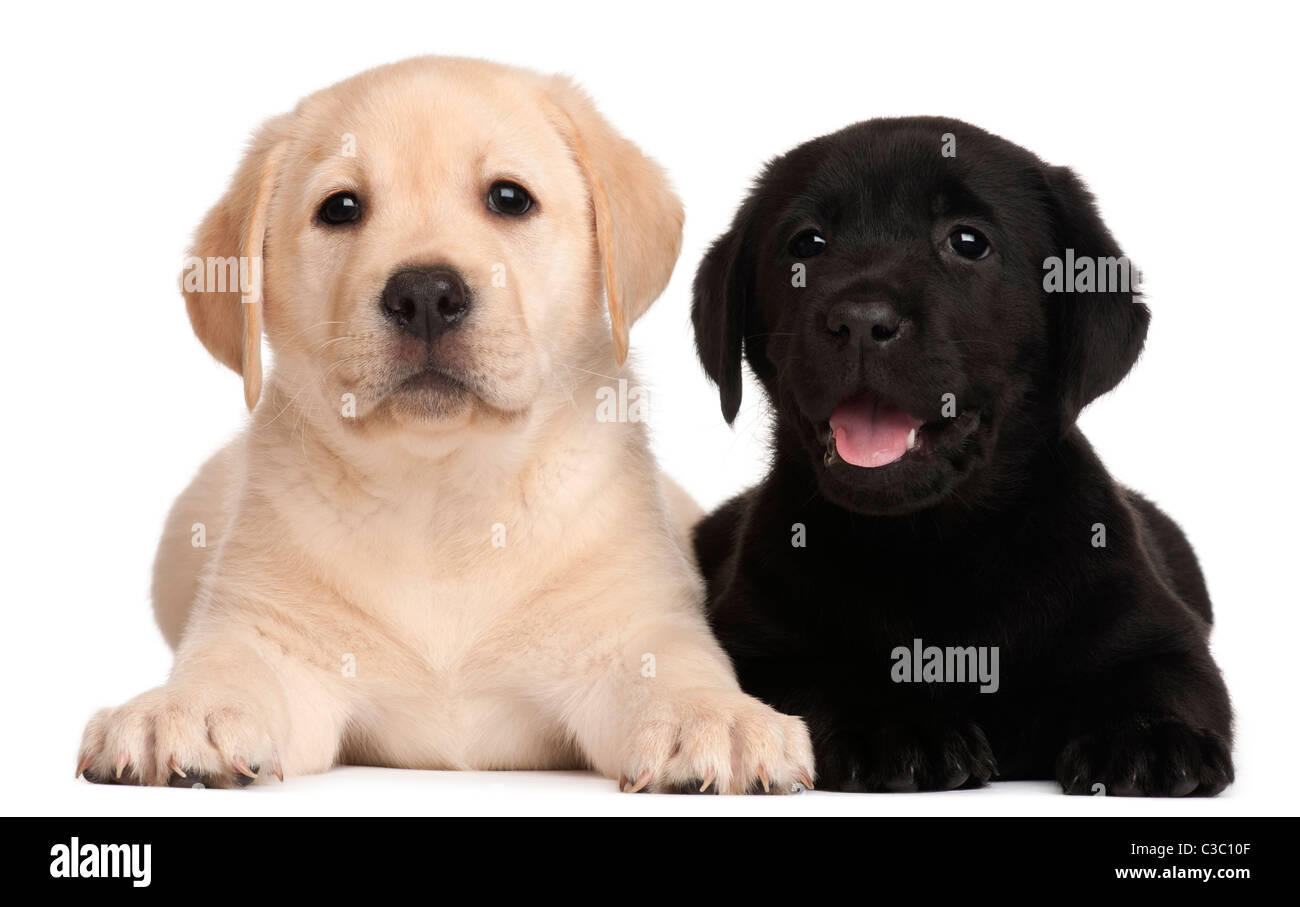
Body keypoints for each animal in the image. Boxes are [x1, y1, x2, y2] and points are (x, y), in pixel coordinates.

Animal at [76, 56, 811, 790]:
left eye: (509, 198)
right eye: (340, 208)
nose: (426, 294)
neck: (441, 495)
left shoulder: (635, 624)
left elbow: (680, 665)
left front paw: (716, 717)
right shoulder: (269, 633)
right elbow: (228, 663)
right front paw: (180, 709)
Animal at [691, 118, 1227, 790]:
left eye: (968, 242)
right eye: (806, 244)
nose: (860, 321)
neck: (933, 542)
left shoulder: (1159, 629)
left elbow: (1164, 676)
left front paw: (1151, 737)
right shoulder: (757, 641)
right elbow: (816, 679)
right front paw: (894, 726)